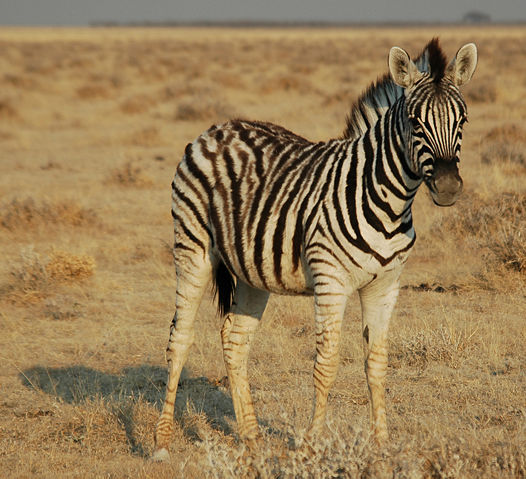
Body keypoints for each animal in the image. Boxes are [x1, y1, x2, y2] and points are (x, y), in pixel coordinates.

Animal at [152, 38, 478, 462]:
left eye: (462, 121)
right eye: (414, 122)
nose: (448, 187)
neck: (388, 199)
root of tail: (215, 129)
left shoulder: (386, 285)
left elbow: (378, 362)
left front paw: (382, 446)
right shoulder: (331, 280)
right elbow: (326, 364)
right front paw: (310, 445)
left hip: (252, 269)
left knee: (235, 338)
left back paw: (252, 438)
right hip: (192, 246)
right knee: (179, 338)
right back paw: (161, 443)